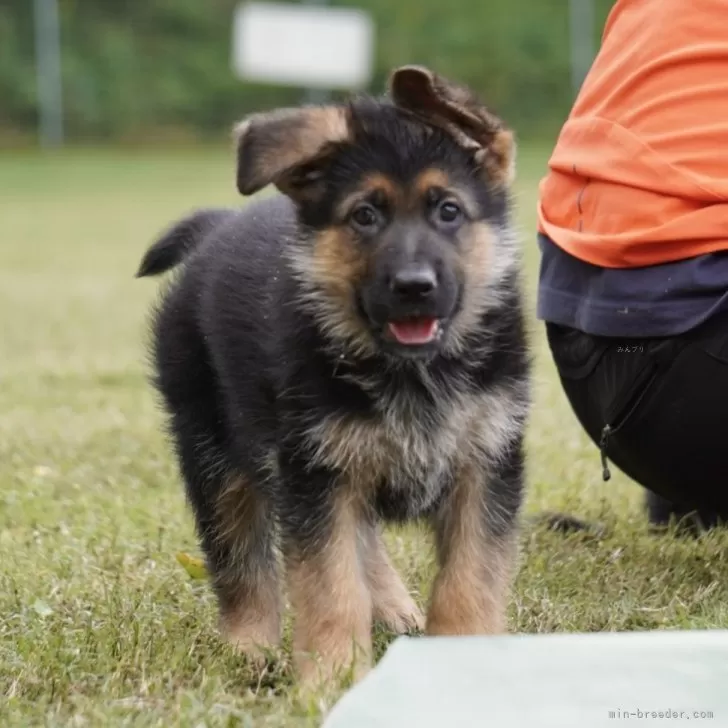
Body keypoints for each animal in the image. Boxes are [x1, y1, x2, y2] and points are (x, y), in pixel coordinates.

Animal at [138, 65, 528, 684]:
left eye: (448, 210)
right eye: (364, 215)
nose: (413, 287)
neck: (409, 373)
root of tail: (219, 228)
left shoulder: (484, 464)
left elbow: (471, 577)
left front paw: (459, 661)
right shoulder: (316, 475)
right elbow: (331, 585)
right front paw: (332, 680)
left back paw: (394, 608)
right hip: (215, 452)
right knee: (239, 559)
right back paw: (250, 648)